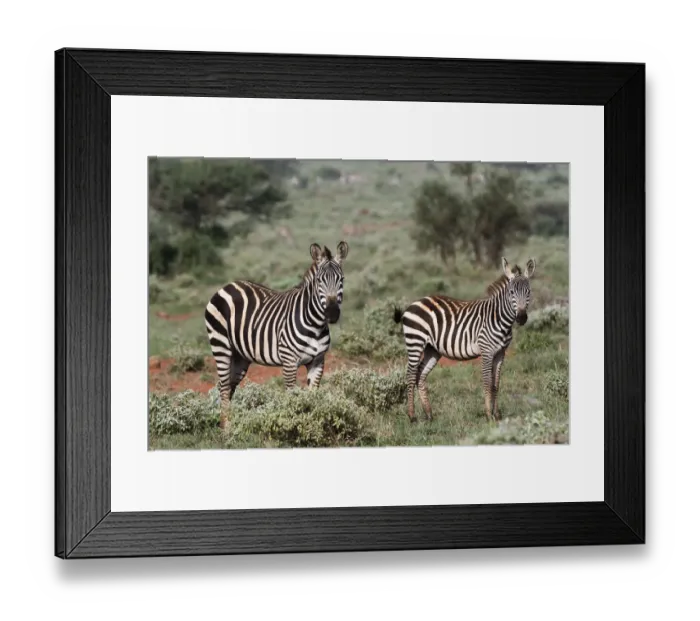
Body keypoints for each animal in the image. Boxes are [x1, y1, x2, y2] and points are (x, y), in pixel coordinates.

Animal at [204, 241, 349, 430]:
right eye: (319, 281)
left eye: (342, 279)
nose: (332, 314)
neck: (315, 325)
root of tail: (228, 286)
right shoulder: (289, 362)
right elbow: (292, 398)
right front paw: (292, 428)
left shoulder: (318, 361)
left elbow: (312, 396)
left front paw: (312, 428)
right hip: (220, 345)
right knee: (223, 387)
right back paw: (226, 429)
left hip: (240, 356)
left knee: (228, 386)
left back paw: (228, 424)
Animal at [393, 257, 536, 423]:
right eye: (511, 292)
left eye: (528, 291)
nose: (522, 318)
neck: (499, 318)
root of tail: (414, 303)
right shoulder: (486, 351)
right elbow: (487, 382)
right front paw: (488, 415)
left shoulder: (501, 353)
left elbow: (496, 384)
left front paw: (497, 415)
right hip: (415, 341)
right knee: (410, 374)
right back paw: (412, 416)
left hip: (432, 349)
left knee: (420, 375)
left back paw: (429, 414)